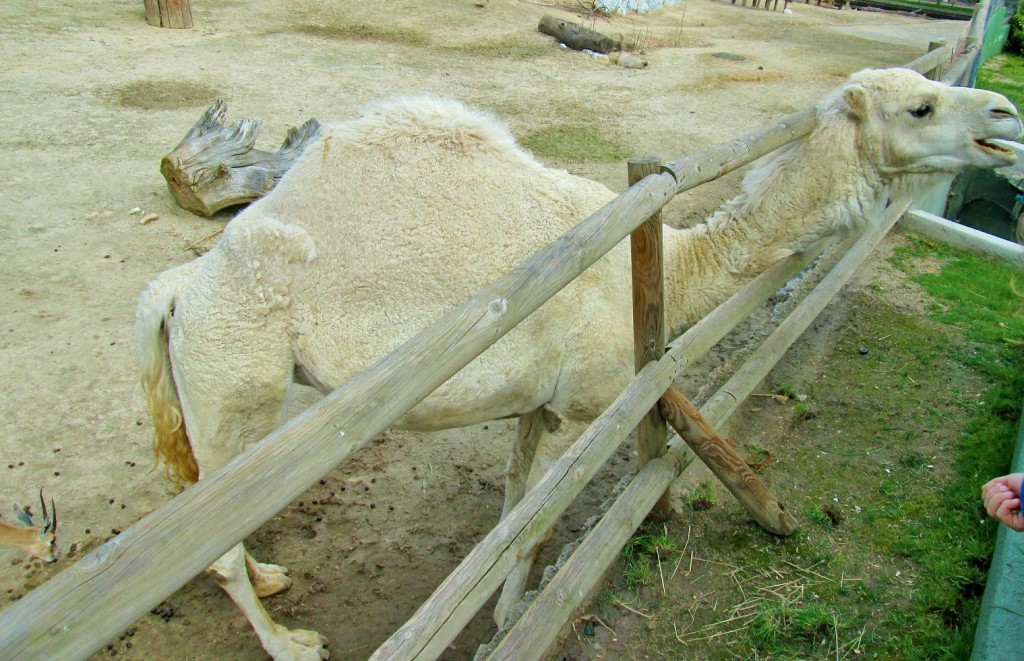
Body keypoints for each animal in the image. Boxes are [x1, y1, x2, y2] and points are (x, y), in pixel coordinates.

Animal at [134, 68, 1015, 661]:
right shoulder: (584, 404)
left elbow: (514, 500)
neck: (666, 267)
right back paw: (292, 639)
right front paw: (507, 620)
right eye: (922, 105)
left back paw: (274, 576)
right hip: (237, 381)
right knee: (214, 541)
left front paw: (499, 597)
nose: (1006, 114)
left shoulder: (537, 401)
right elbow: (539, 518)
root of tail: (178, 288)